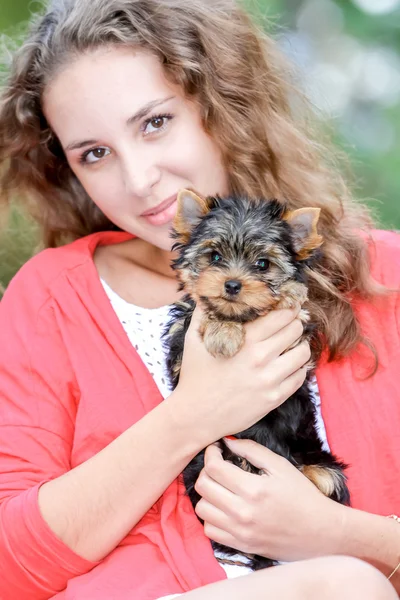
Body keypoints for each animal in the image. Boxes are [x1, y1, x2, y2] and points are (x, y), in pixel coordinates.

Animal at [164, 190, 348, 568]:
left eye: (263, 264)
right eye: (214, 257)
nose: (232, 285)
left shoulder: (297, 346)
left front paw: (287, 295)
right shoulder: (178, 352)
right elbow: (192, 322)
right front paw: (222, 330)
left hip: (324, 468)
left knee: (321, 482)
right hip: (201, 470)